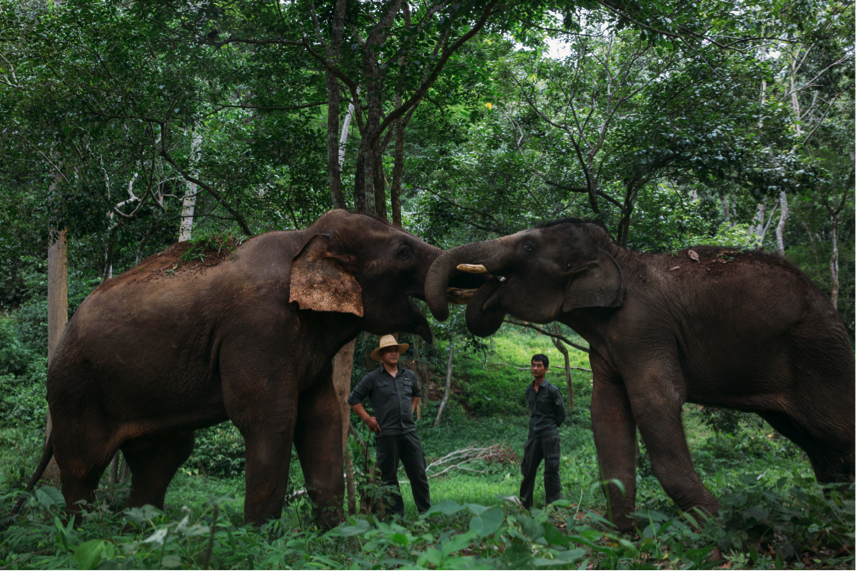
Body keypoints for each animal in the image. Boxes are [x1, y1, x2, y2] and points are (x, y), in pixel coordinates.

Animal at [426, 218, 856, 532]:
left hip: (821, 354)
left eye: (528, 248)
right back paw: (835, 512)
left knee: (835, 431)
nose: (480, 284)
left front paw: (715, 531)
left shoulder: (644, 329)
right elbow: (606, 415)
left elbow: (654, 403)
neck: (620, 256)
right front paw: (623, 537)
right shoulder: (608, 345)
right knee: (817, 444)